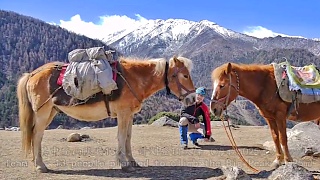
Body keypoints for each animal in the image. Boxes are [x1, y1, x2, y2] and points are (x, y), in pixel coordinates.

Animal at [18, 55, 198, 172]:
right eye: (185, 75)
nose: (192, 98)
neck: (134, 78)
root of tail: (32, 74)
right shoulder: (123, 114)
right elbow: (121, 137)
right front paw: (124, 164)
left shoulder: (129, 115)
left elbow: (128, 138)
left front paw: (132, 162)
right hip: (42, 113)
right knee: (36, 135)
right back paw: (40, 166)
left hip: (51, 112)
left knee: (36, 135)